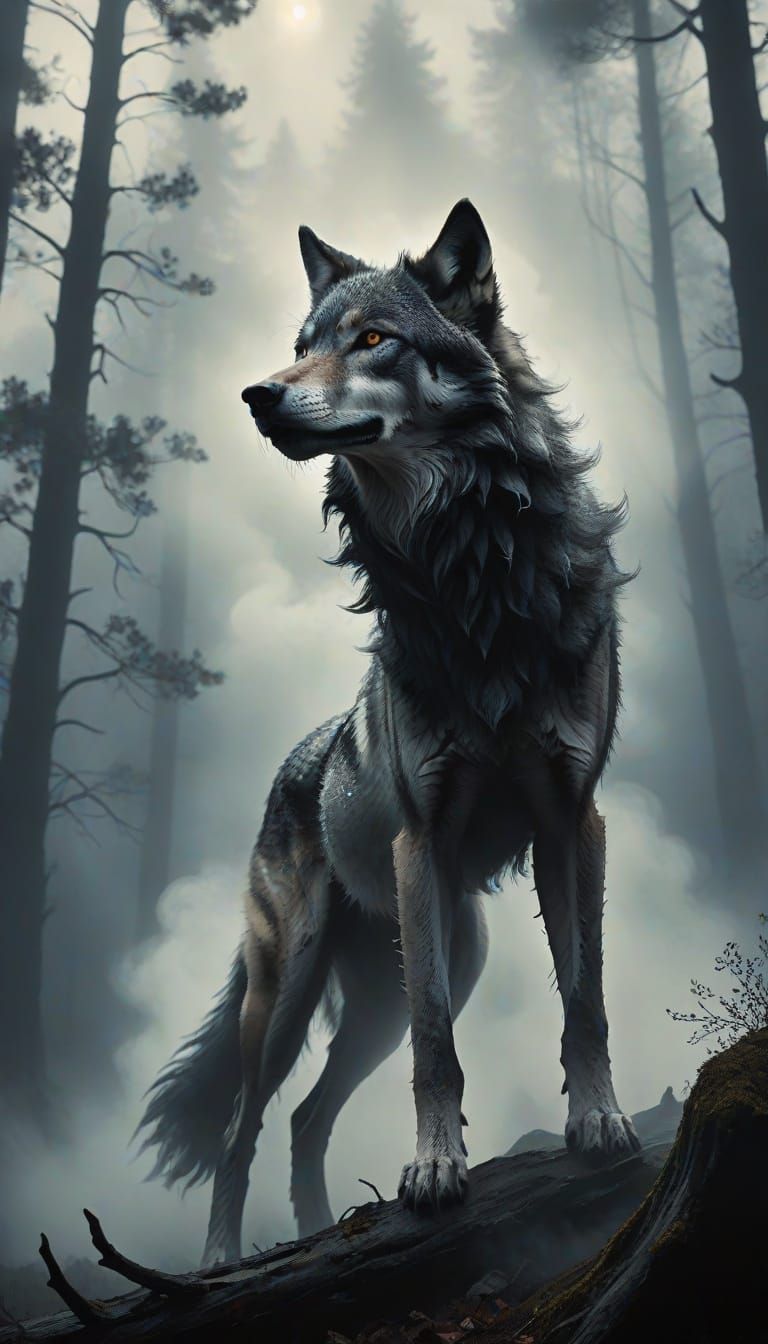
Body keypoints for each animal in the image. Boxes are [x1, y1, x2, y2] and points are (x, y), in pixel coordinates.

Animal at [136, 200, 640, 1268]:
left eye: (373, 340)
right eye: (301, 346)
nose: (259, 394)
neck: (473, 575)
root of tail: (291, 768)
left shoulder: (572, 819)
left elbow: (585, 1001)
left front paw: (599, 1124)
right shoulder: (424, 841)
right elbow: (439, 1045)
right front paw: (436, 1172)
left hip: (412, 974)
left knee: (305, 1119)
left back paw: (321, 1231)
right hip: (287, 994)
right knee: (244, 1129)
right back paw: (220, 1262)